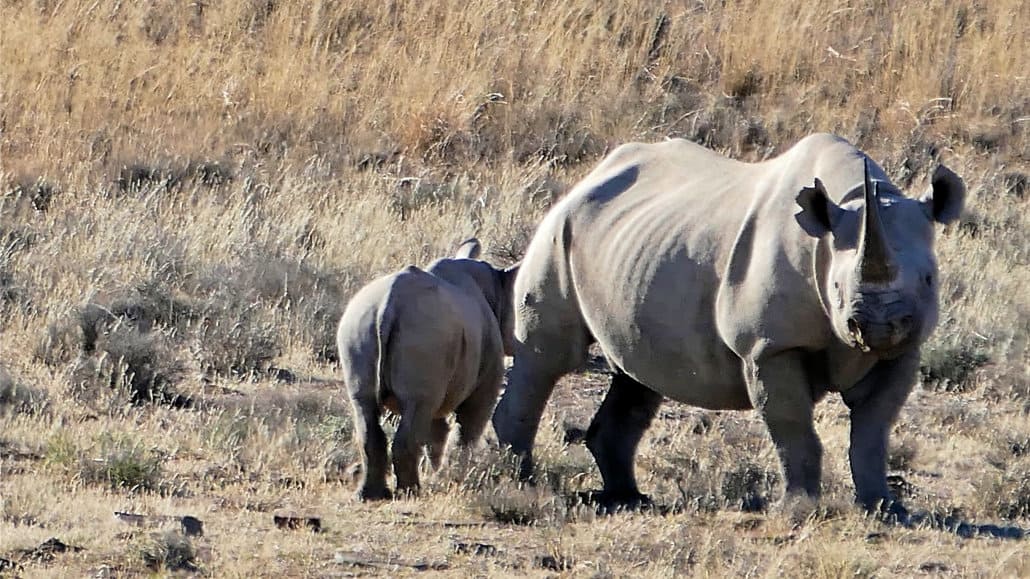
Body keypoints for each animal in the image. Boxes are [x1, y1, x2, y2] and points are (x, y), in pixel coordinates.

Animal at [337, 236, 519, 498]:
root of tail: (390, 302)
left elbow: (437, 431)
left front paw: (438, 472)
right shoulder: (484, 378)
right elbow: (468, 428)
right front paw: (455, 475)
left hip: (358, 322)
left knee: (364, 404)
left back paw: (370, 495)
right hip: (426, 333)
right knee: (417, 406)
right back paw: (411, 492)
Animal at [490, 131, 964, 513]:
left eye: (929, 279)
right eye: (836, 286)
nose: (880, 327)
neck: (859, 200)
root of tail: (588, 177)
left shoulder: (905, 350)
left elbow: (872, 431)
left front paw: (884, 508)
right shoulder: (770, 345)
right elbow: (793, 428)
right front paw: (799, 510)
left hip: (637, 246)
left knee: (638, 370)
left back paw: (627, 499)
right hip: (559, 229)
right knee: (548, 355)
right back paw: (524, 485)